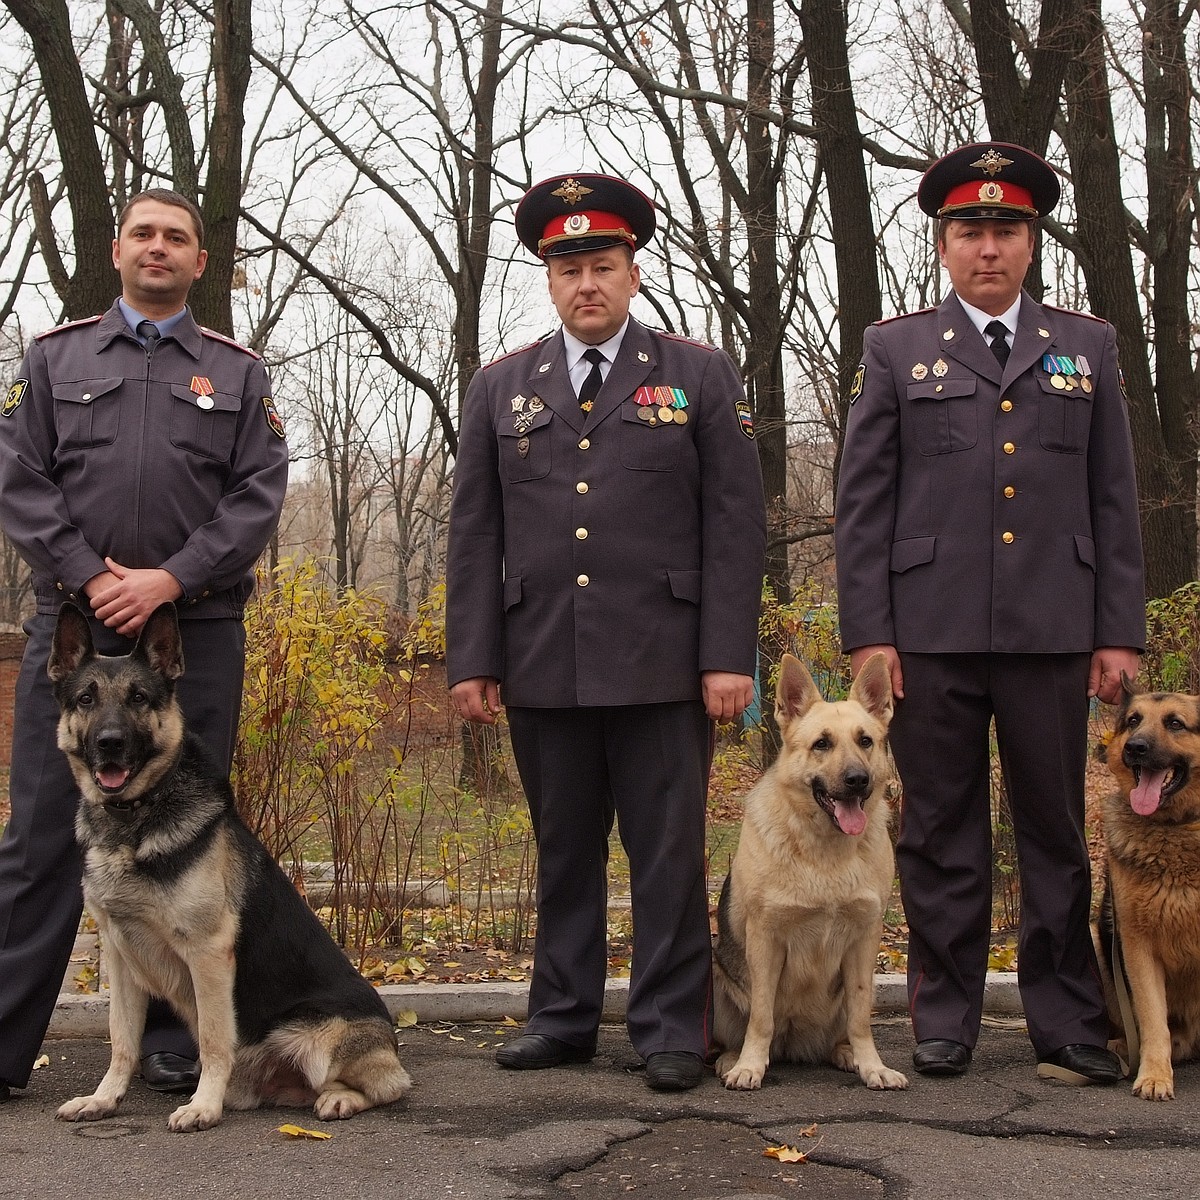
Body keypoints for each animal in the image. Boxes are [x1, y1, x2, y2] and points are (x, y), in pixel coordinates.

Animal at [50, 604, 412, 1128]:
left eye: (138, 698)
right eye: (85, 699)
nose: (110, 743)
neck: (135, 820)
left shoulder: (208, 953)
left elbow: (215, 1039)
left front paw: (203, 1105)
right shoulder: (121, 959)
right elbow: (121, 1041)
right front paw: (104, 1098)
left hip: (321, 1039)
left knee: (387, 1085)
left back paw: (340, 1098)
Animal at [705, 652, 902, 1094]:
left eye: (866, 741)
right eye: (821, 744)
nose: (858, 780)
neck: (824, 852)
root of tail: (794, 1044)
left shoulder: (865, 940)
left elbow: (860, 1019)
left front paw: (872, 1066)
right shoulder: (765, 938)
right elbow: (761, 1015)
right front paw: (750, 1065)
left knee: (844, 1029)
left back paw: (845, 1053)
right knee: (745, 1029)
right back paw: (731, 1058)